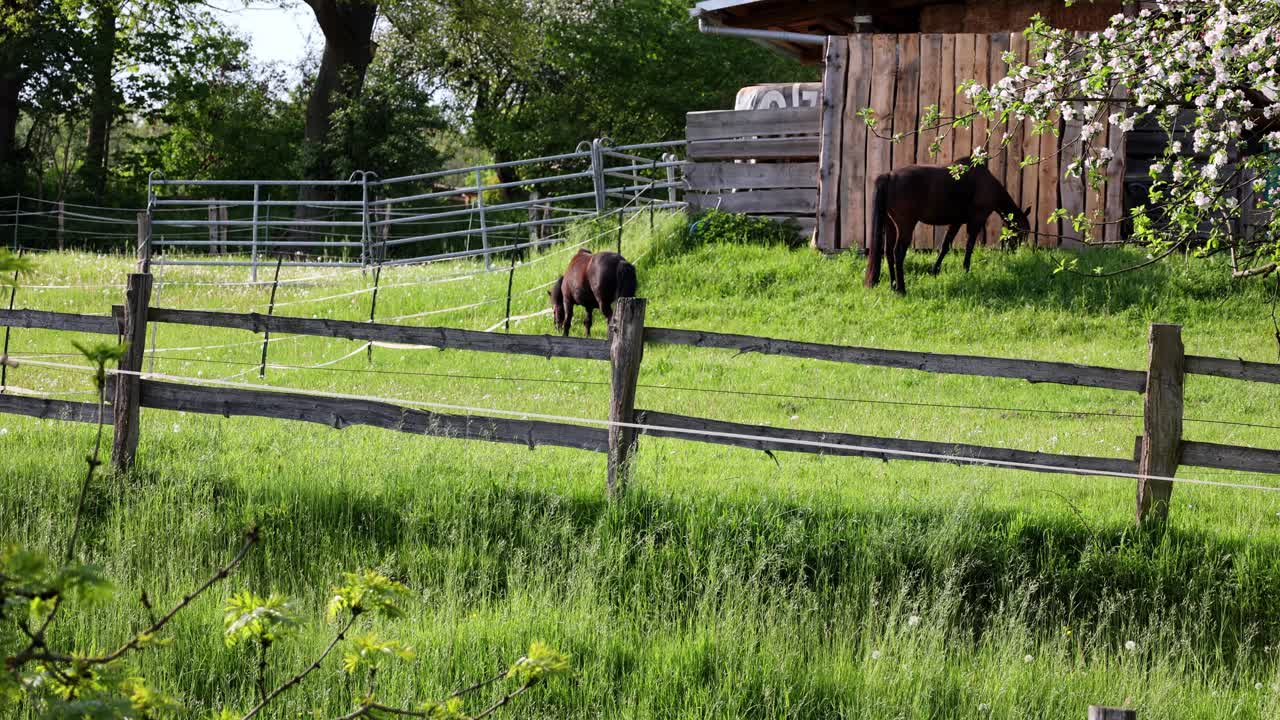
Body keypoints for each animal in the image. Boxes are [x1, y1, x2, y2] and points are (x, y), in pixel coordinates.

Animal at [864, 158, 1031, 294]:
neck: (986, 182)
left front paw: (935, 271)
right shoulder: (976, 221)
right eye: (1022, 233)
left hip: (890, 225)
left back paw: (893, 286)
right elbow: (969, 247)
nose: (1016, 252)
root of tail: (889, 176)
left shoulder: (956, 222)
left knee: (888, 253)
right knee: (898, 253)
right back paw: (901, 289)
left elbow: (945, 245)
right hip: (905, 226)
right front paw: (966, 270)